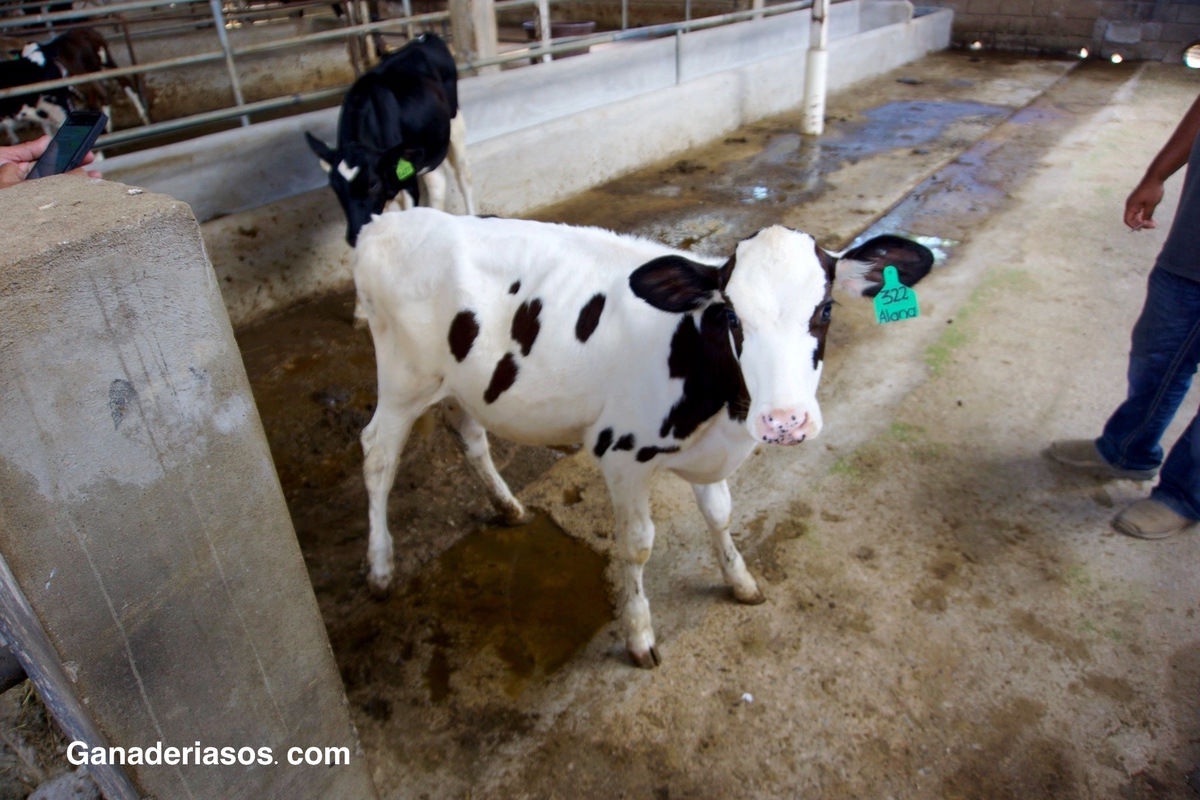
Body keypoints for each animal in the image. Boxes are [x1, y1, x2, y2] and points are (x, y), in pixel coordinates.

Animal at [304, 32, 472, 248]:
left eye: (373, 184)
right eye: (335, 186)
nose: (354, 235)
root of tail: (425, 37)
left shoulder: (408, 182)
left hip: (455, 122)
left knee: (463, 175)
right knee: (437, 184)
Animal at [350, 208, 931, 671]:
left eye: (826, 309)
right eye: (732, 315)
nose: (784, 420)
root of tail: (386, 222)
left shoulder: (709, 452)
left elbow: (720, 514)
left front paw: (740, 581)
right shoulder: (622, 456)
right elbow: (637, 547)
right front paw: (639, 635)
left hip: (460, 383)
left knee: (469, 435)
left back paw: (508, 506)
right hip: (403, 380)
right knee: (377, 454)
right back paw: (379, 568)